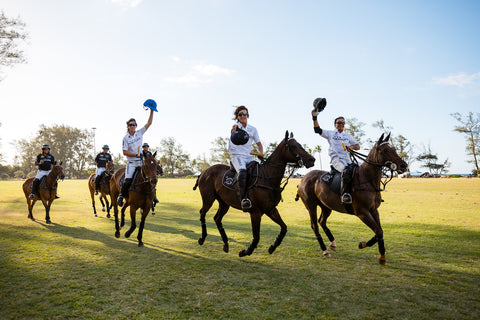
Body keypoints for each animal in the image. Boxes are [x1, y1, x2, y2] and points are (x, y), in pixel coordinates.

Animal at [296, 133, 408, 264]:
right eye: (385, 150)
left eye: (394, 149)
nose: (404, 165)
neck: (368, 180)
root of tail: (302, 179)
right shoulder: (362, 212)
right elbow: (378, 231)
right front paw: (379, 255)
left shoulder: (374, 210)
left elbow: (379, 231)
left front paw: (370, 248)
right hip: (311, 206)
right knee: (315, 226)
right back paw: (325, 251)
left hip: (326, 206)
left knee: (322, 221)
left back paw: (332, 244)